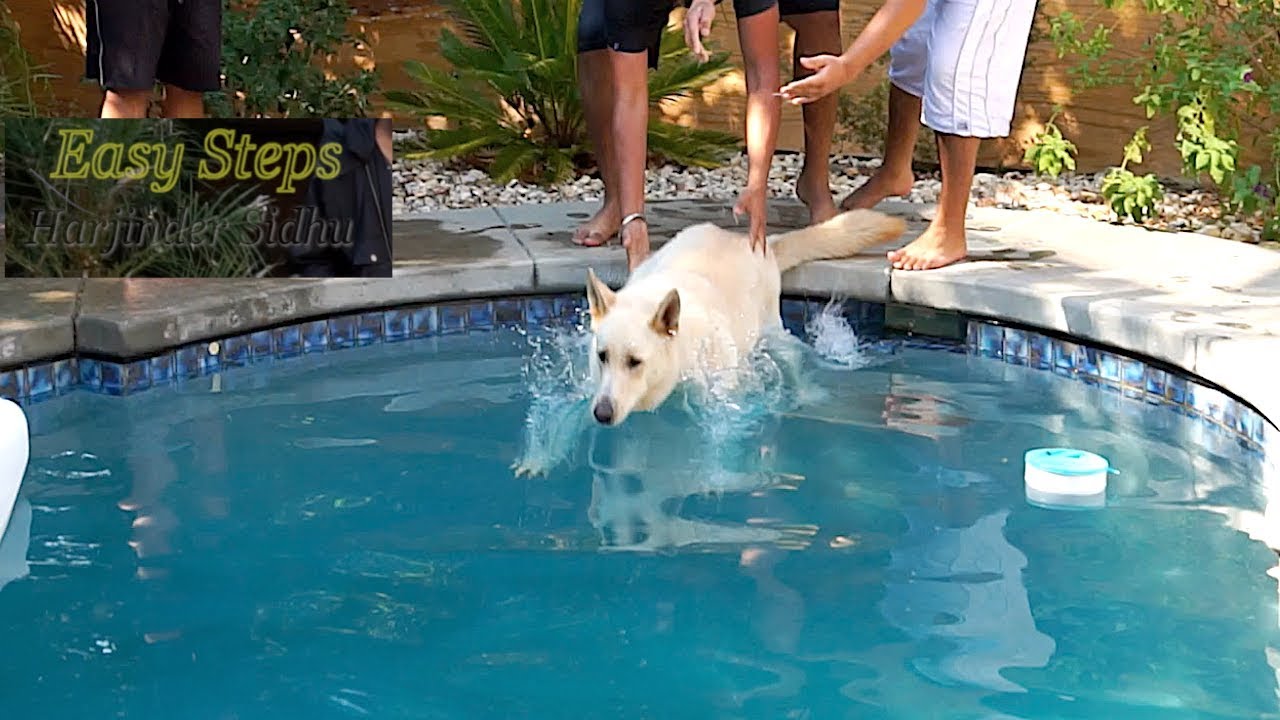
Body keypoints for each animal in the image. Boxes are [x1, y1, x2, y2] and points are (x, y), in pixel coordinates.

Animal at [586, 210, 906, 427]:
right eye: (603, 357)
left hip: (774, 334)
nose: (601, 414)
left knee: (791, 362)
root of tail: (754, 241)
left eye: (635, 362)